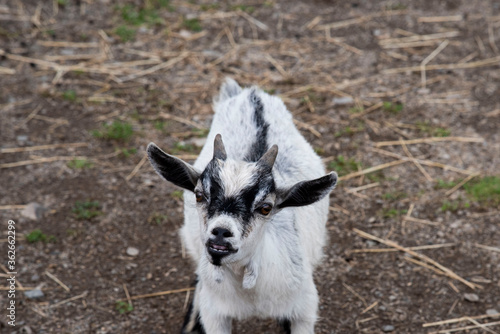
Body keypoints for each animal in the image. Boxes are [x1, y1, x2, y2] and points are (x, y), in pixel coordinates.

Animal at [146, 79, 338, 334]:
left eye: (266, 207)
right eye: (199, 195)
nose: (221, 232)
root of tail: (251, 95)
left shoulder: (304, 310)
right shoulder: (215, 315)